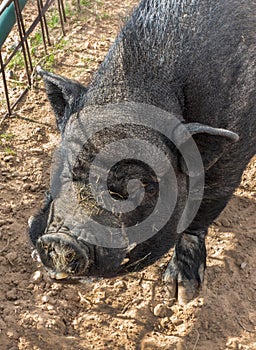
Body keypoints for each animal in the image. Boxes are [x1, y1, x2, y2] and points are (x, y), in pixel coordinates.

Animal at [29, 0, 255, 304]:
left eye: (134, 186)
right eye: (64, 171)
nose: (60, 240)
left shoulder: (231, 159)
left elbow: (201, 213)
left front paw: (181, 293)